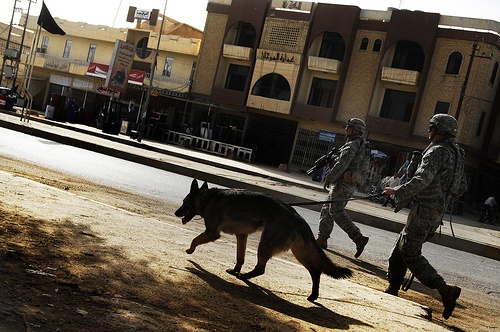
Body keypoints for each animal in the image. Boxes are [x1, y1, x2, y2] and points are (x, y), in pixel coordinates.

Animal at [175, 180, 352, 302]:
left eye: (184, 202)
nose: (176, 213)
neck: (206, 198)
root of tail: (298, 217)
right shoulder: (241, 236)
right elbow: (240, 257)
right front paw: (235, 269)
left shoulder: (212, 233)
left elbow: (195, 239)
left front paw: (190, 250)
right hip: (299, 252)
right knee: (315, 271)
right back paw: (313, 295)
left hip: (266, 244)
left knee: (261, 268)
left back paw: (244, 277)